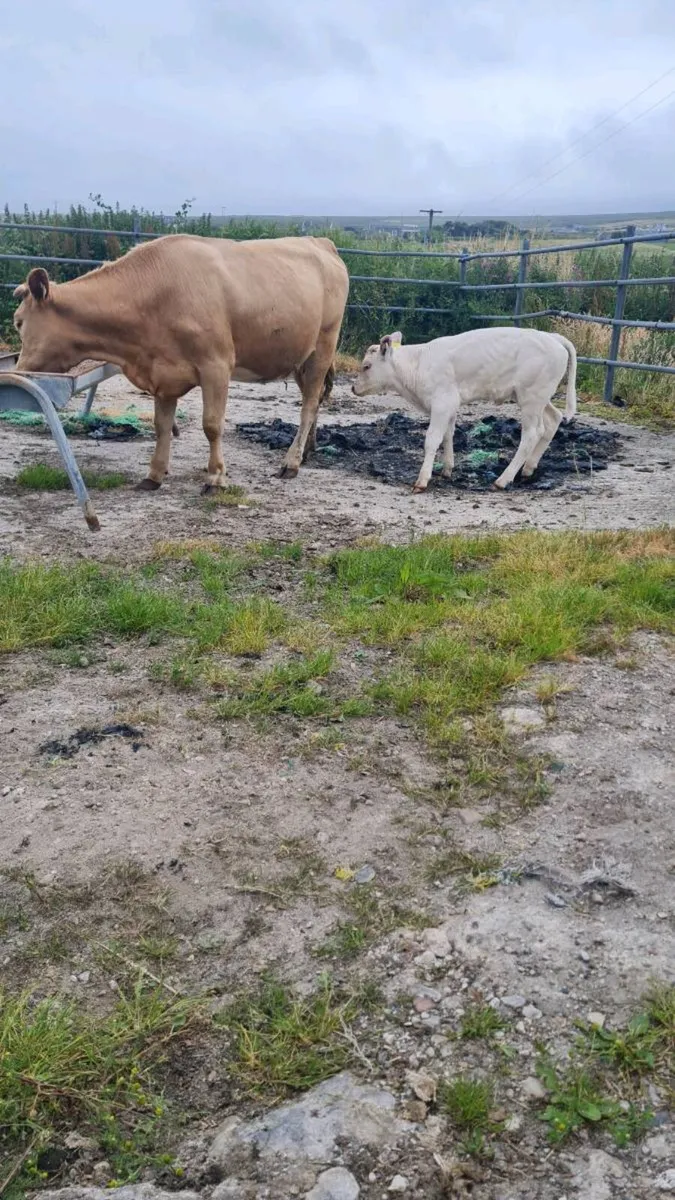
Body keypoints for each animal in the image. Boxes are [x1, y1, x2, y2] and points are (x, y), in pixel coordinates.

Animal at [13, 234, 349, 491]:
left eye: (18, 322)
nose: (17, 372)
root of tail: (319, 242)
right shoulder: (162, 372)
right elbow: (161, 426)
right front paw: (154, 475)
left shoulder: (216, 365)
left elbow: (212, 425)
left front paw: (216, 477)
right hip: (299, 357)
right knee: (314, 401)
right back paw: (306, 451)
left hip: (323, 346)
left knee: (308, 406)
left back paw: (291, 463)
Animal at [352, 326, 578, 492]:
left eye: (366, 366)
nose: (354, 388)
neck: (418, 364)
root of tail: (552, 337)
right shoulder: (450, 404)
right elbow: (448, 435)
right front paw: (447, 469)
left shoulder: (442, 403)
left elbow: (432, 439)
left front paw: (423, 480)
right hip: (538, 398)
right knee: (553, 420)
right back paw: (528, 469)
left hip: (531, 398)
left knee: (532, 433)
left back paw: (503, 479)